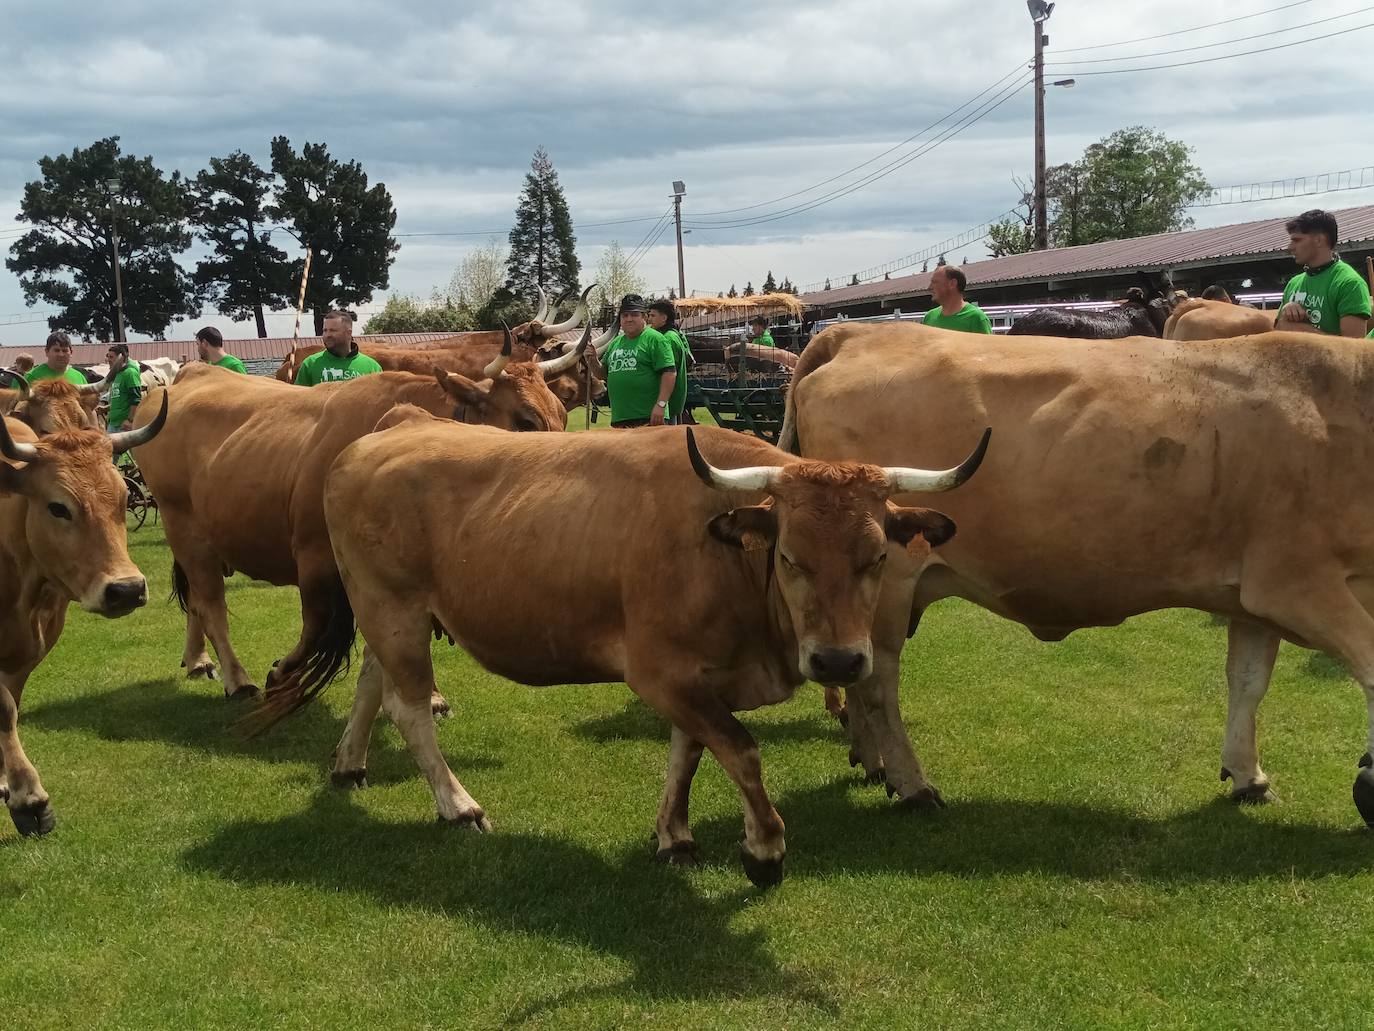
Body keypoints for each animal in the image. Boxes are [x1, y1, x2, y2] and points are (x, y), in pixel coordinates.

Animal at [0, 398, 170, 841]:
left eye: (123, 498)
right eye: (58, 506)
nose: (126, 589)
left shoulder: (28, 654)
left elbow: (11, 706)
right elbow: (5, 709)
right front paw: (30, 800)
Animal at [791, 324, 1374, 830]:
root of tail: (860, 331)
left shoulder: (1250, 596)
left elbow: (1248, 680)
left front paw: (1247, 775)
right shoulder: (1296, 583)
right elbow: (1366, 663)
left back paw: (872, 761)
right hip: (887, 579)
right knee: (876, 681)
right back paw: (913, 785)